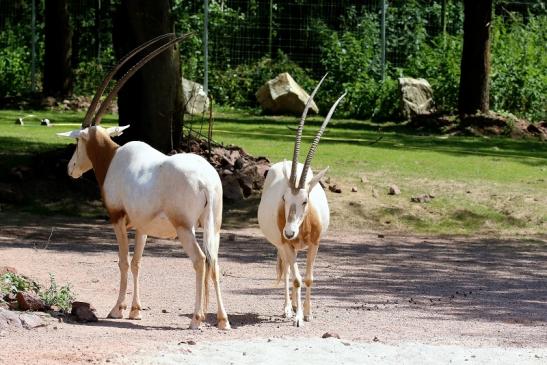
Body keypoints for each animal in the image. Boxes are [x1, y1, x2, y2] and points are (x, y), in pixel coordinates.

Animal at [57, 34, 231, 328]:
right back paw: (222, 319)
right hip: (213, 225)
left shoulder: (117, 218)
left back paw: (196, 319)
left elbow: (123, 262)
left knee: (200, 260)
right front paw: (136, 310)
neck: (113, 158)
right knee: (215, 261)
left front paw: (117, 309)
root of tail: (207, 181)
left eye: (78, 142)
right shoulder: (142, 226)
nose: (71, 169)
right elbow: (138, 262)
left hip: (185, 227)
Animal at [258, 75, 344, 326]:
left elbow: (308, 278)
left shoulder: (315, 244)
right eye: (285, 198)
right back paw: (288, 308)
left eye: (306, 200)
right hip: (281, 245)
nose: (289, 232)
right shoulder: (287, 245)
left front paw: (307, 313)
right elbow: (296, 278)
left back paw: (296, 306)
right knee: (287, 271)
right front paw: (297, 317)